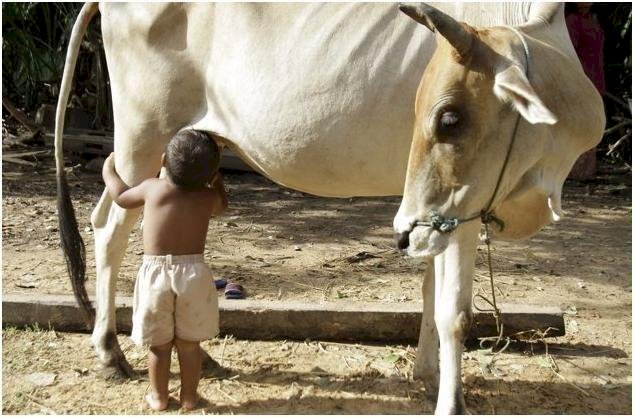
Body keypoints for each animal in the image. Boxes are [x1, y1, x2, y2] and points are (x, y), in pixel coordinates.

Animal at [55, 2, 604, 412]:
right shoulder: (460, 207)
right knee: (110, 228)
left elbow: (429, 292)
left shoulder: (437, 212)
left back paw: (200, 356)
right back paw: (109, 353)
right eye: (447, 118)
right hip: (142, 142)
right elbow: (456, 313)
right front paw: (450, 401)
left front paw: (426, 375)